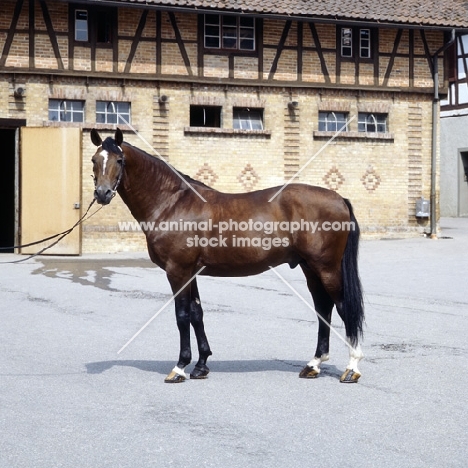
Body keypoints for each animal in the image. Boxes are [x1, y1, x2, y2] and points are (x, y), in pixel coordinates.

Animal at [89, 127, 364, 384]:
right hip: (310, 268)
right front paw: (201, 365)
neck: (172, 204)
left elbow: (182, 316)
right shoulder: (191, 272)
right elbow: (197, 314)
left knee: (342, 307)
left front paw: (180, 367)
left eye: (120, 160)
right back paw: (314, 364)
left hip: (326, 268)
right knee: (323, 308)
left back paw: (351, 368)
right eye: (94, 160)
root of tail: (339, 198)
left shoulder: (178, 271)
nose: (102, 194)